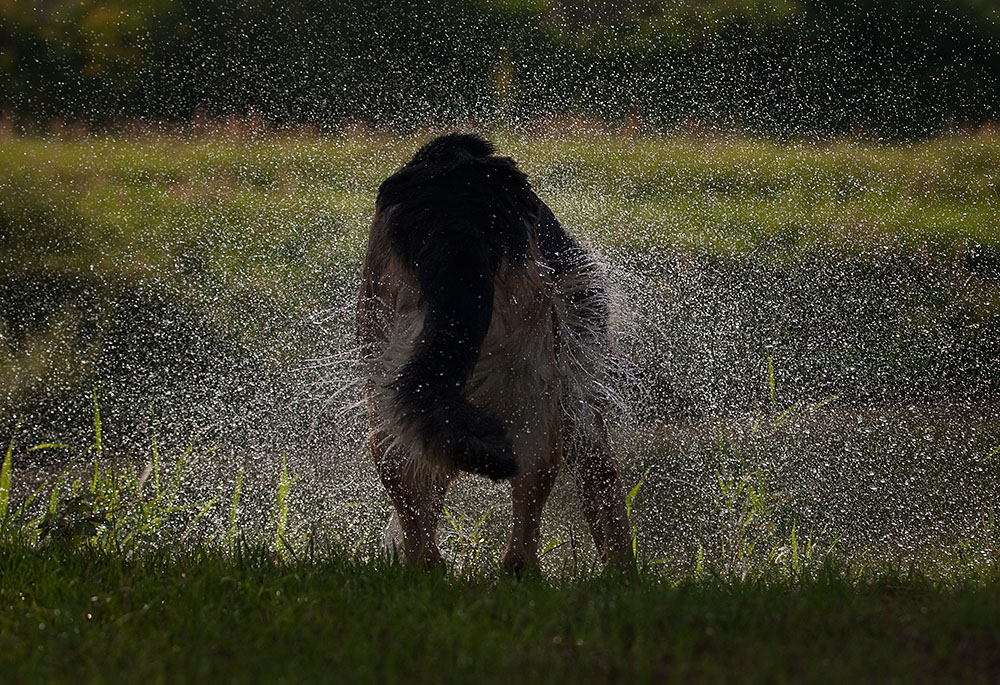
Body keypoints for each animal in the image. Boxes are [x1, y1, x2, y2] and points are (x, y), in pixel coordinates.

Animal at [356, 134, 628, 572]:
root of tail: (455, 217)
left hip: (387, 393)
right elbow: (607, 497)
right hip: (533, 393)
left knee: (418, 513)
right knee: (522, 536)